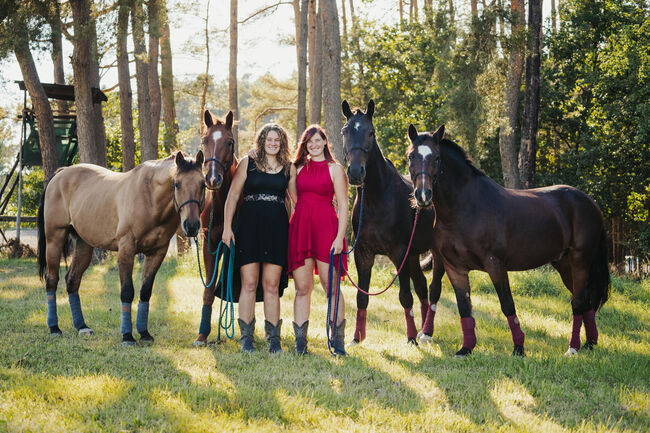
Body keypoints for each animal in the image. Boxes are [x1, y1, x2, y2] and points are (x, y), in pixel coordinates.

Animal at [36, 150, 204, 346]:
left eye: (203, 184)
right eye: (177, 184)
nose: (191, 226)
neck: (150, 198)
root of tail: (60, 174)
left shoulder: (157, 253)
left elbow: (145, 291)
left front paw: (144, 333)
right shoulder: (126, 250)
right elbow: (127, 292)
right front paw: (127, 336)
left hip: (84, 245)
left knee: (72, 280)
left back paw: (82, 327)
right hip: (54, 239)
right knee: (52, 280)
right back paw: (54, 328)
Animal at [340, 100, 446, 344]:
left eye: (371, 132)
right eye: (344, 132)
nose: (356, 172)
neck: (377, 199)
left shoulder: (399, 253)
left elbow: (405, 296)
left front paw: (411, 337)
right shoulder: (363, 253)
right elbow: (361, 297)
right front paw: (357, 337)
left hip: (436, 255)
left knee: (433, 289)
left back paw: (426, 333)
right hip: (414, 255)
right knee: (422, 287)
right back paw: (423, 329)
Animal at [404, 124, 608, 354]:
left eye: (437, 158)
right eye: (411, 156)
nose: (423, 196)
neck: (466, 207)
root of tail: (590, 203)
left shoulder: (495, 265)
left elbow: (507, 304)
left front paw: (519, 348)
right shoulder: (455, 267)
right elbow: (464, 307)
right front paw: (466, 349)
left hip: (580, 262)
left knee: (578, 302)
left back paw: (573, 349)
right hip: (564, 265)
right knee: (585, 301)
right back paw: (589, 344)